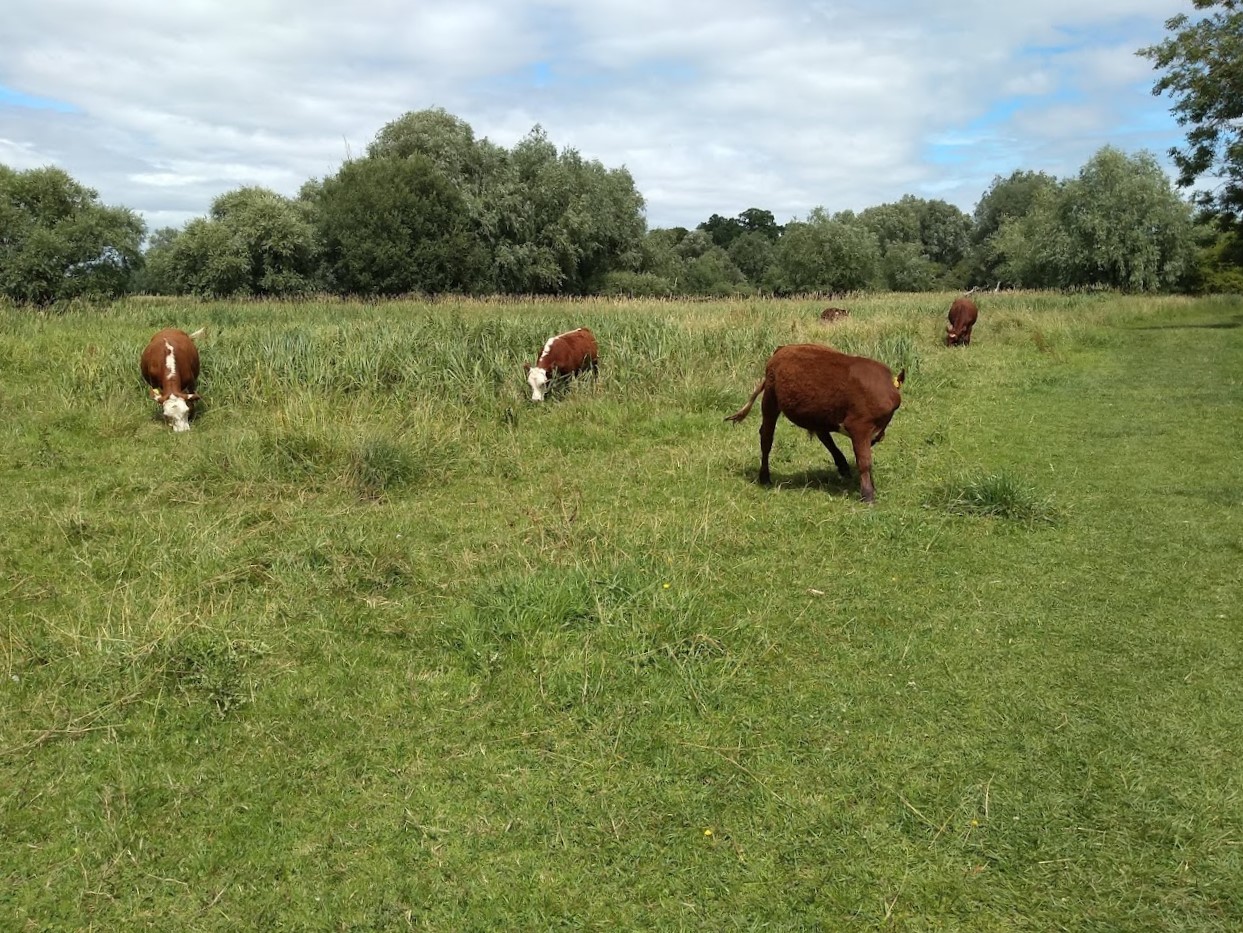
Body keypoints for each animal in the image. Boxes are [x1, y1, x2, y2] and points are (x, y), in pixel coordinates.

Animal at [725, 342, 909, 504]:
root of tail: (783, 349)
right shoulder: (859, 427)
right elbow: (864, 462)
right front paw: (868, 495)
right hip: (770, 400)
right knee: (766, 437)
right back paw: (764, 477)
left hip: (817, 411)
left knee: (823, 435)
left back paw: (842, 466)